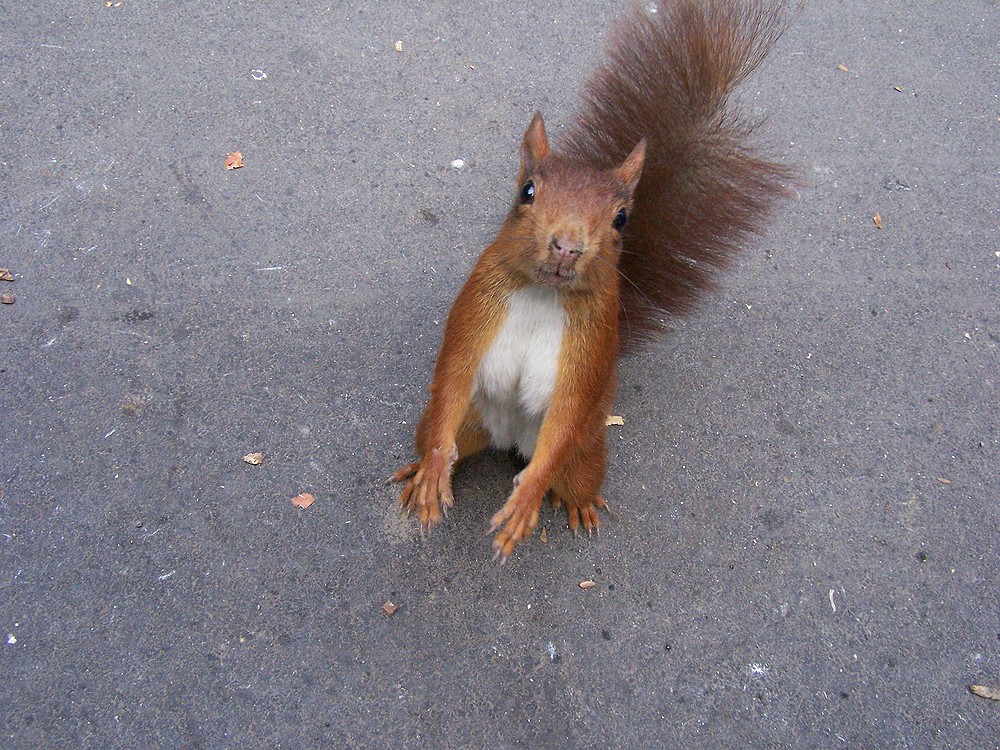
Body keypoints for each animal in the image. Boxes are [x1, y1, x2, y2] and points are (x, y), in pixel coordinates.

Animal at [392, 0, 796, 560]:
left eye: (622, 219)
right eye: (527, 190)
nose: (567, 245)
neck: (546, 294)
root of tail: (508, 438)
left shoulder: (592, 344)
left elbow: (568, 413)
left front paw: (526, 503)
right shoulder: (476, 306)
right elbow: (453, 374)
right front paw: (432, 469)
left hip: (586, 455)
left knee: (572, 471)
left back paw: (579, 505)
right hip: (461, 421)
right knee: (446, 426)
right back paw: (418, 470)